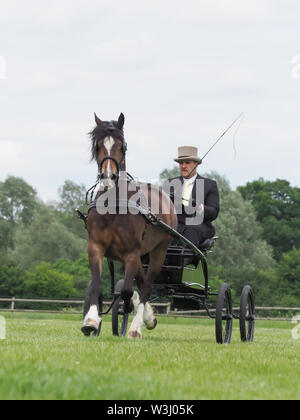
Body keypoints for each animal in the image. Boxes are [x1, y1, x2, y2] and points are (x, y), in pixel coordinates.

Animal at [81, 113, 178, 340]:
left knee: (147, 285)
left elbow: (126, 289)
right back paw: (147, 317)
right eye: (98, 145)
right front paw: (91, 321)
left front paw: (128, 309)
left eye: (122, 146)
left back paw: (136, 326)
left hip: (159, 251)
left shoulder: (132, 253)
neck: (113, 207)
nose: (108, 177)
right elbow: (96, 284)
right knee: (141, 282)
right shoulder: (95, 247)